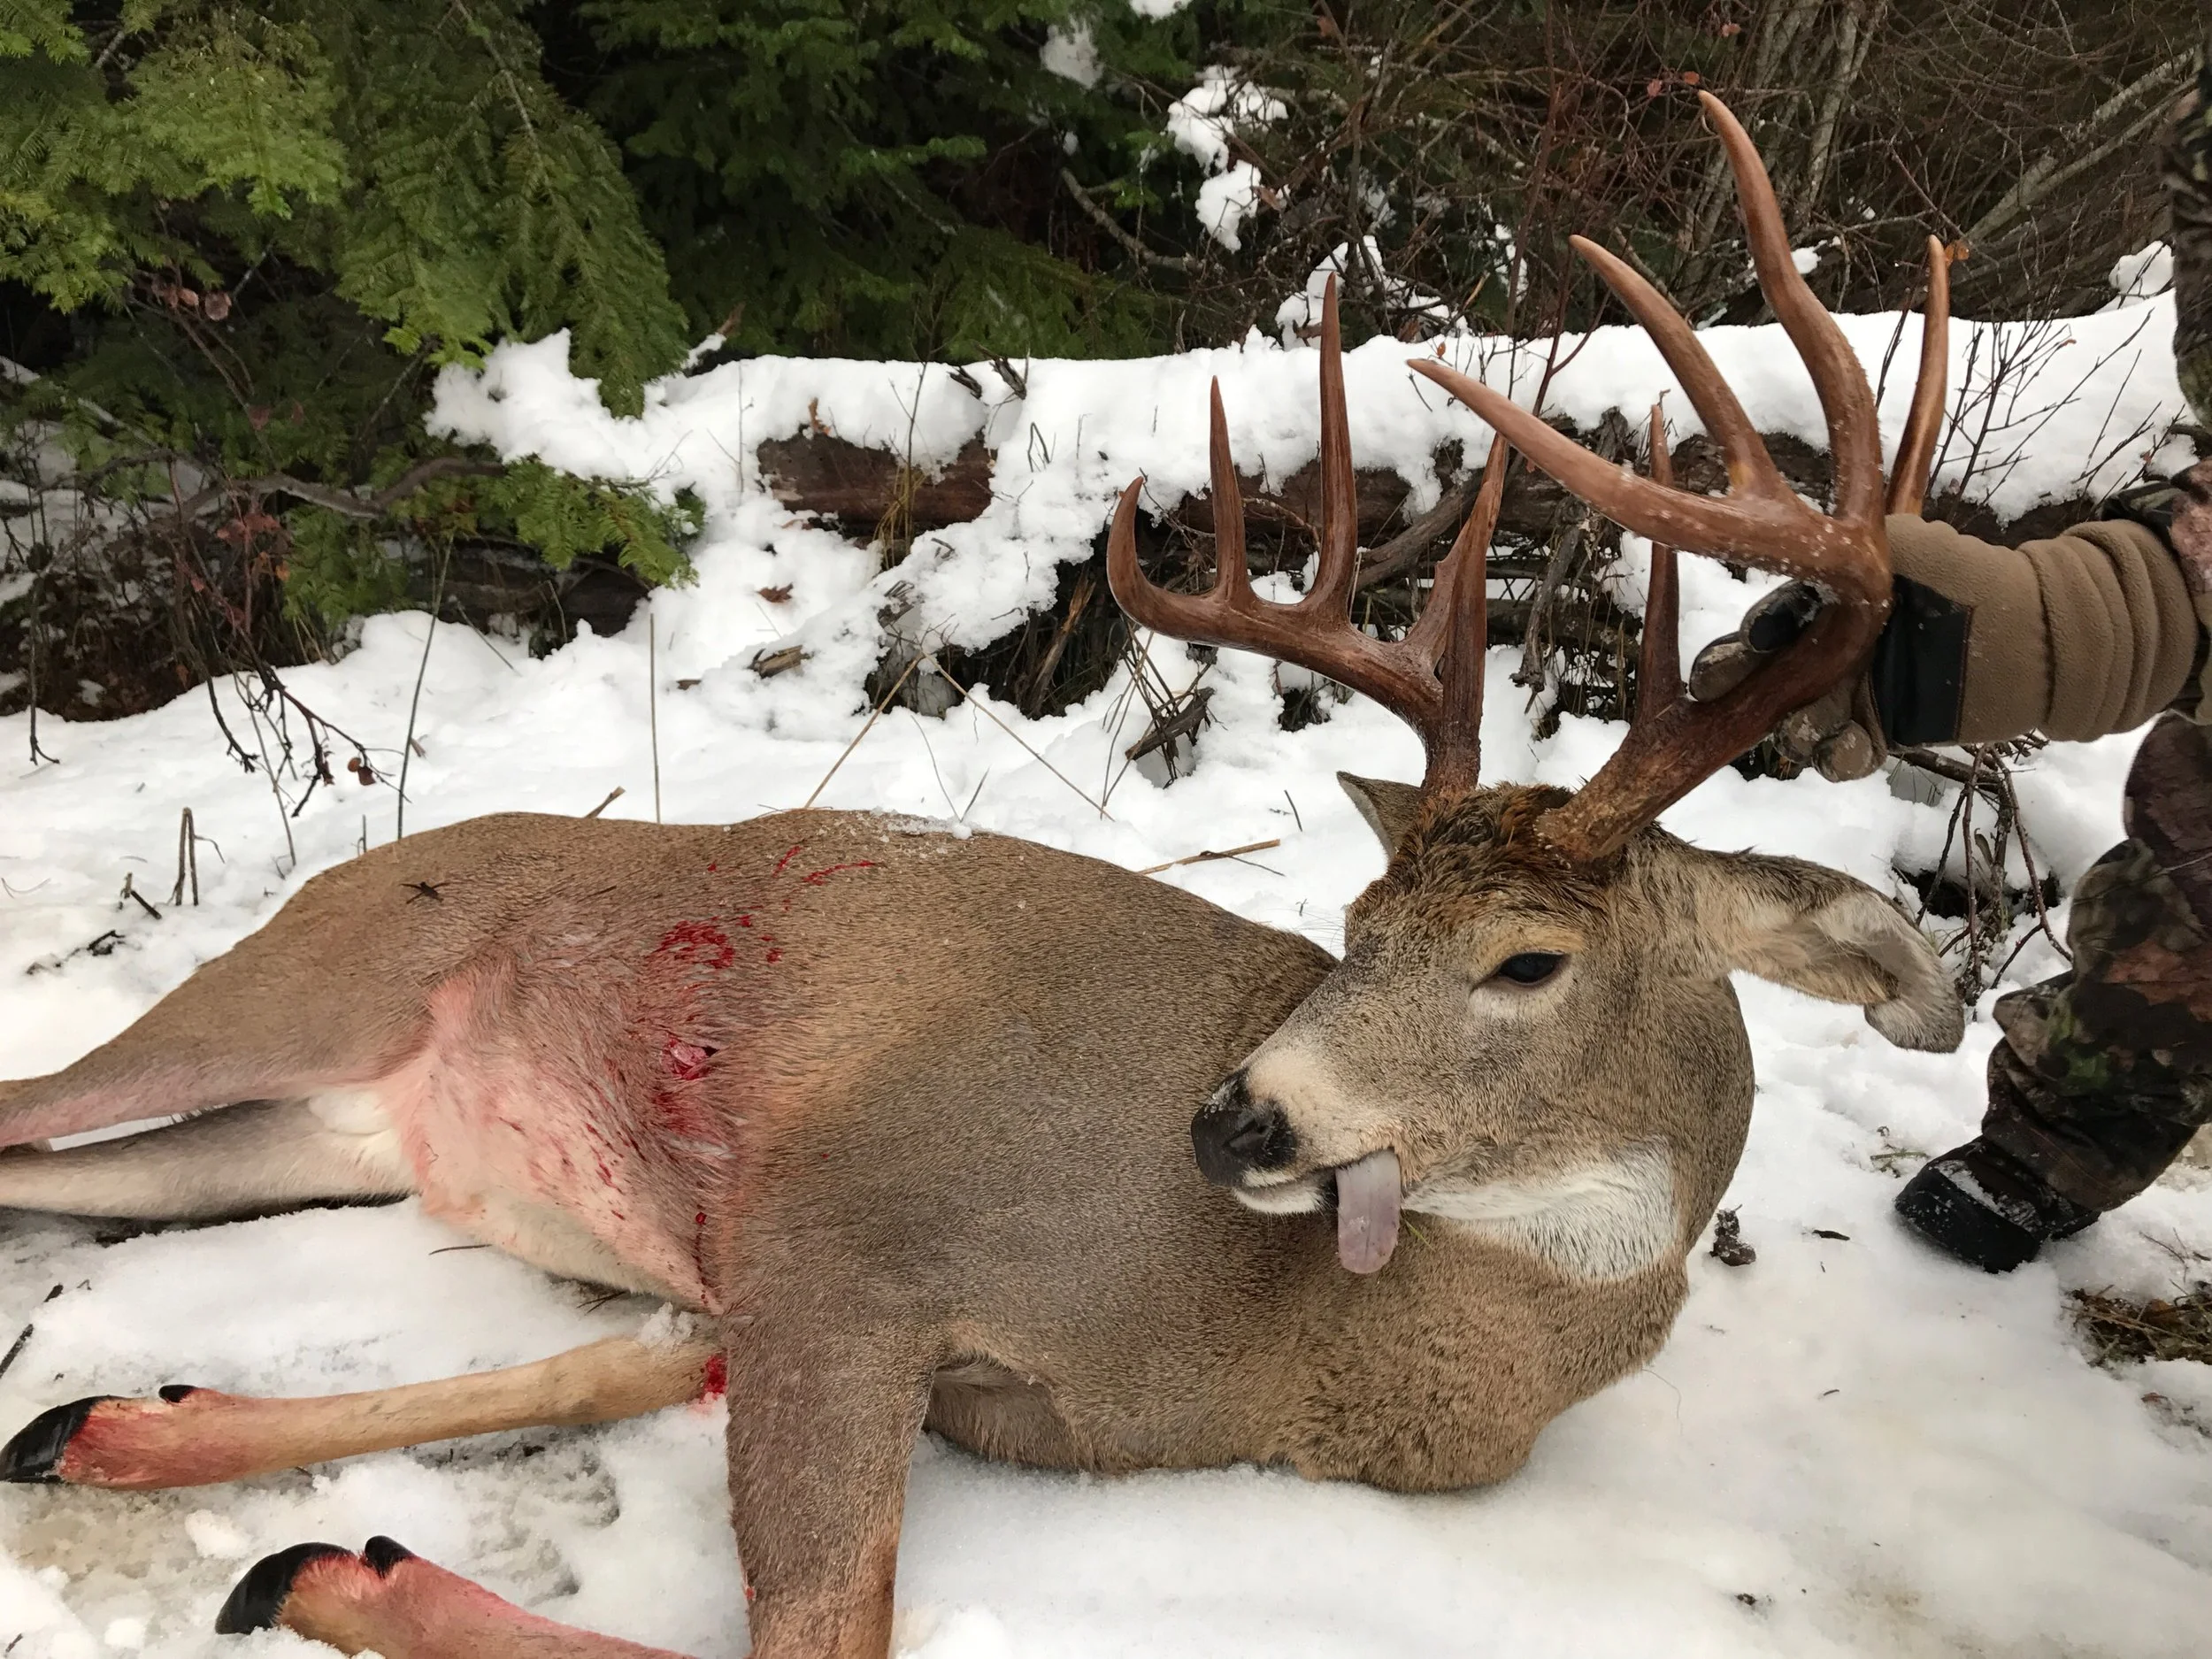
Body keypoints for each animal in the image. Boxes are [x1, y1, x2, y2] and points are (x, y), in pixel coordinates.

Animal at [0, 96, 1960, 1659]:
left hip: (329, 1129)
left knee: (74, 1176)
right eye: (1353, 923)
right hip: (304, 979)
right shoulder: (846, 1222)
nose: (1232, 1116)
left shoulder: (851, 1327)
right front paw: (325, 1564)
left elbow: (639, 1376)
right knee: (41, 1103)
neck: (1302, 1339)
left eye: (1526, 959)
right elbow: (815, 1625)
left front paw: (240, 1497)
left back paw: (91, 1425)